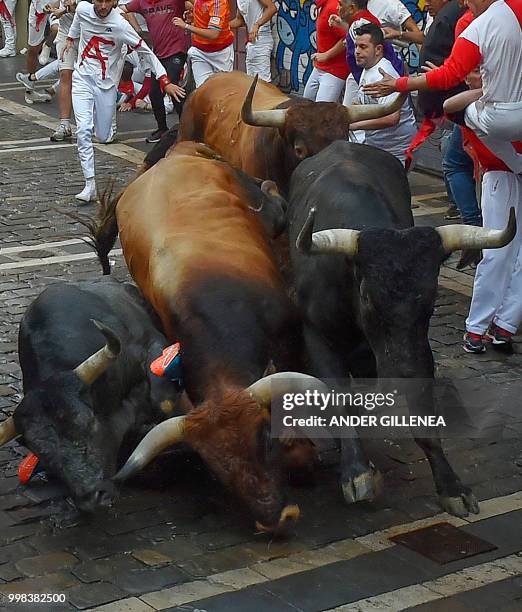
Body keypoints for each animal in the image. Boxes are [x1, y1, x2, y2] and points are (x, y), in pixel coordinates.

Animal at [106, 142, 316, 532]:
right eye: (216, 468)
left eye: (264, 439)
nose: (275, 518)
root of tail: (177, 152)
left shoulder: (291, 337)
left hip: (252, 194)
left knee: (272, 201)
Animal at [286, 141, 512, 520]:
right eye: (366, 294)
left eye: (431, 294)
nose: (399, 373)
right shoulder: (317, 336)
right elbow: (338, 401)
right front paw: (356, 472)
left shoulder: (417, 348)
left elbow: (422, 412)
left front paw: (451, 487)